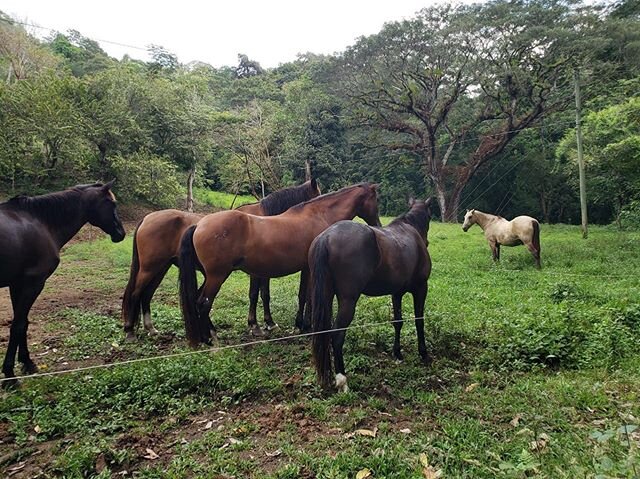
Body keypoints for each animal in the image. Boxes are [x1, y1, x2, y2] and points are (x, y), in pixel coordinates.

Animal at [0, 182, 125, 388]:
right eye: (112, 204)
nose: (121, 233)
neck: (42, 222)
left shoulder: (17, 284)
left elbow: (23, 323)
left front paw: (27, 363)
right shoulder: (33, 284)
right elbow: (18, 326)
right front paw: (10, 375)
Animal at [120, 180, 320, 342]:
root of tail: (147, 218)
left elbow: (257, 294)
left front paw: (260, 324)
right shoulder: (260, 271)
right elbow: (261, 294)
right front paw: (263, 324)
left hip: (161, 268)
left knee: (146, 295)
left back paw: (151, 329)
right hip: (151, 268)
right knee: (136, 293)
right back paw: (130, 331)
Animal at [179, 183, 380, 344]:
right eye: (375, 200)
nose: (378, 224)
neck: (318, 216)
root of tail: (199, 225)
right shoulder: (308, 269)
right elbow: (305, 296)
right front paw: (303, 325)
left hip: (211, 276)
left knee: (197, 300)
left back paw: (206, 335)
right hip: (217, 276)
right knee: (203, 303)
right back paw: (211, 339)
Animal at [308, 197, 432, 392]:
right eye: (430, 216)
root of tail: (326, 237)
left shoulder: (396, 293)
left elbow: (398, 322)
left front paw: (397, 353)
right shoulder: (421, 288)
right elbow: (419, 321)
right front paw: (423, 353)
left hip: (325, 297)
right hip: (348, 301)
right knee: (337, 335)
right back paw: (342, 380)